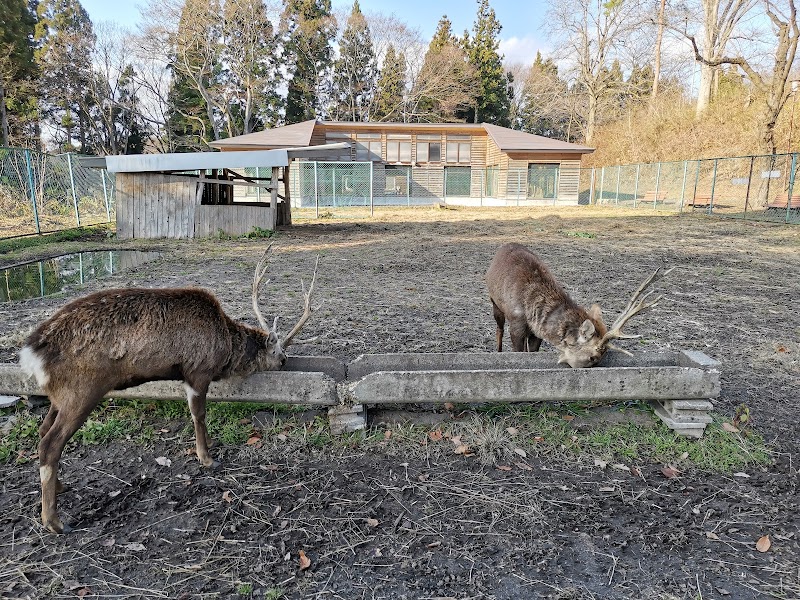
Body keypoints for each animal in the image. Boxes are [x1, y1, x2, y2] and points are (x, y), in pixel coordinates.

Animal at [20, 245, 318, 536]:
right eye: (280, 354)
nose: (285, 361)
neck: (225, 350)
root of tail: (31, 353)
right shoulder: (197, 371)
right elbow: (199, 414)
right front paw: (207, 458)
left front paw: (209, 446)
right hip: (82, 391)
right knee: (50, 443)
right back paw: (54, 522)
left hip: (59, 395)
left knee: (42, 430)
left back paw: (60, 487)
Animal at [488, 243, 668, 366]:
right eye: (592, 358)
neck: (531, 310)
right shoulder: (516, 323)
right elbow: (518, 350)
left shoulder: (536, 332)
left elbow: (531, 351)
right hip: (494, 303)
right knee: (499, 329)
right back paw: (498, 351)